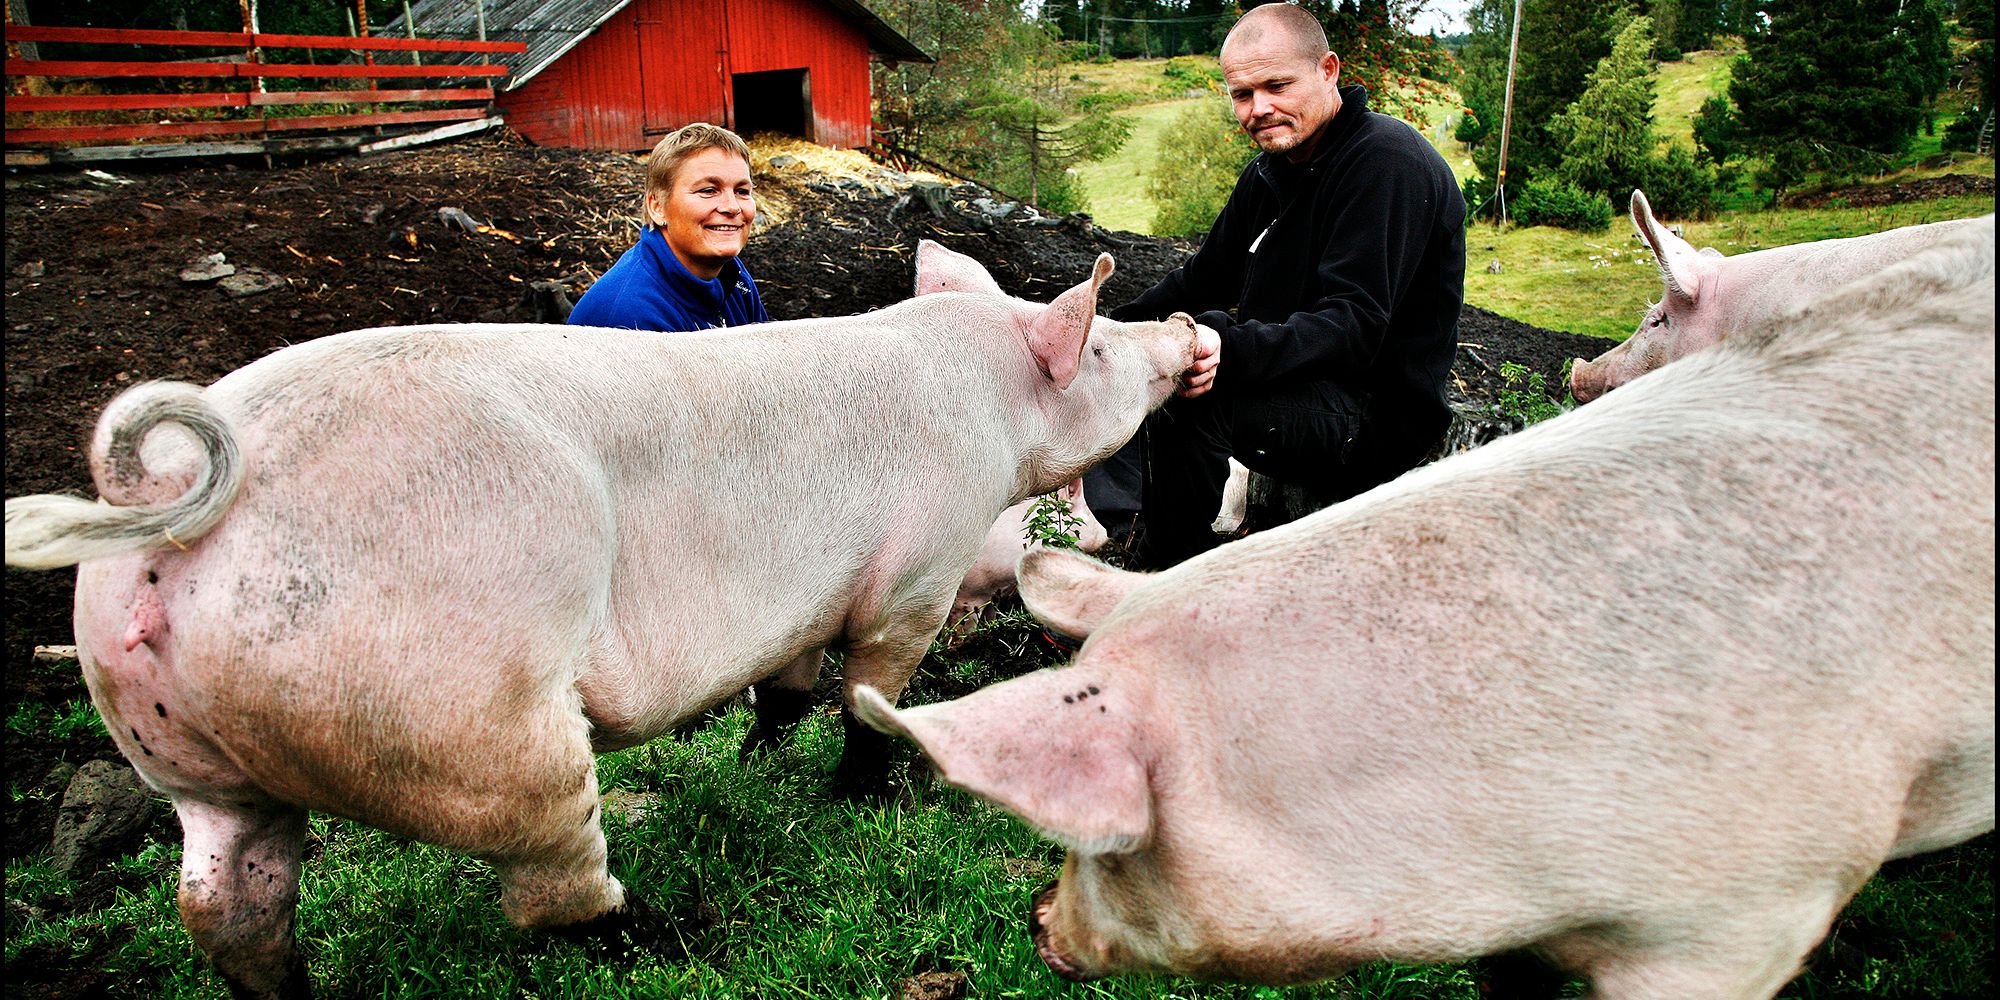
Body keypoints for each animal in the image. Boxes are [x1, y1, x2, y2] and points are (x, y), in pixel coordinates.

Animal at [946, 477, 1109, 640]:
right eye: (1088, 510)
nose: (1106, 533)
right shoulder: (972, 590)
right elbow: (965, 623)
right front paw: (960, 640)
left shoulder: (994, 593)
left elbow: (990, 614)